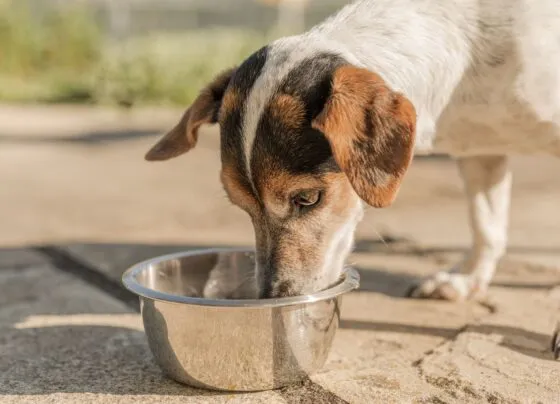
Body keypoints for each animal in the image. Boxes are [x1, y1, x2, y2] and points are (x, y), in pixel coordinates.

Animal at [145, 0, 560, 354]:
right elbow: (486, 226)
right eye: (241, 206)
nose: (272, 299)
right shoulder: (479, 152)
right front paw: (466, 280)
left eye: (307, 199)